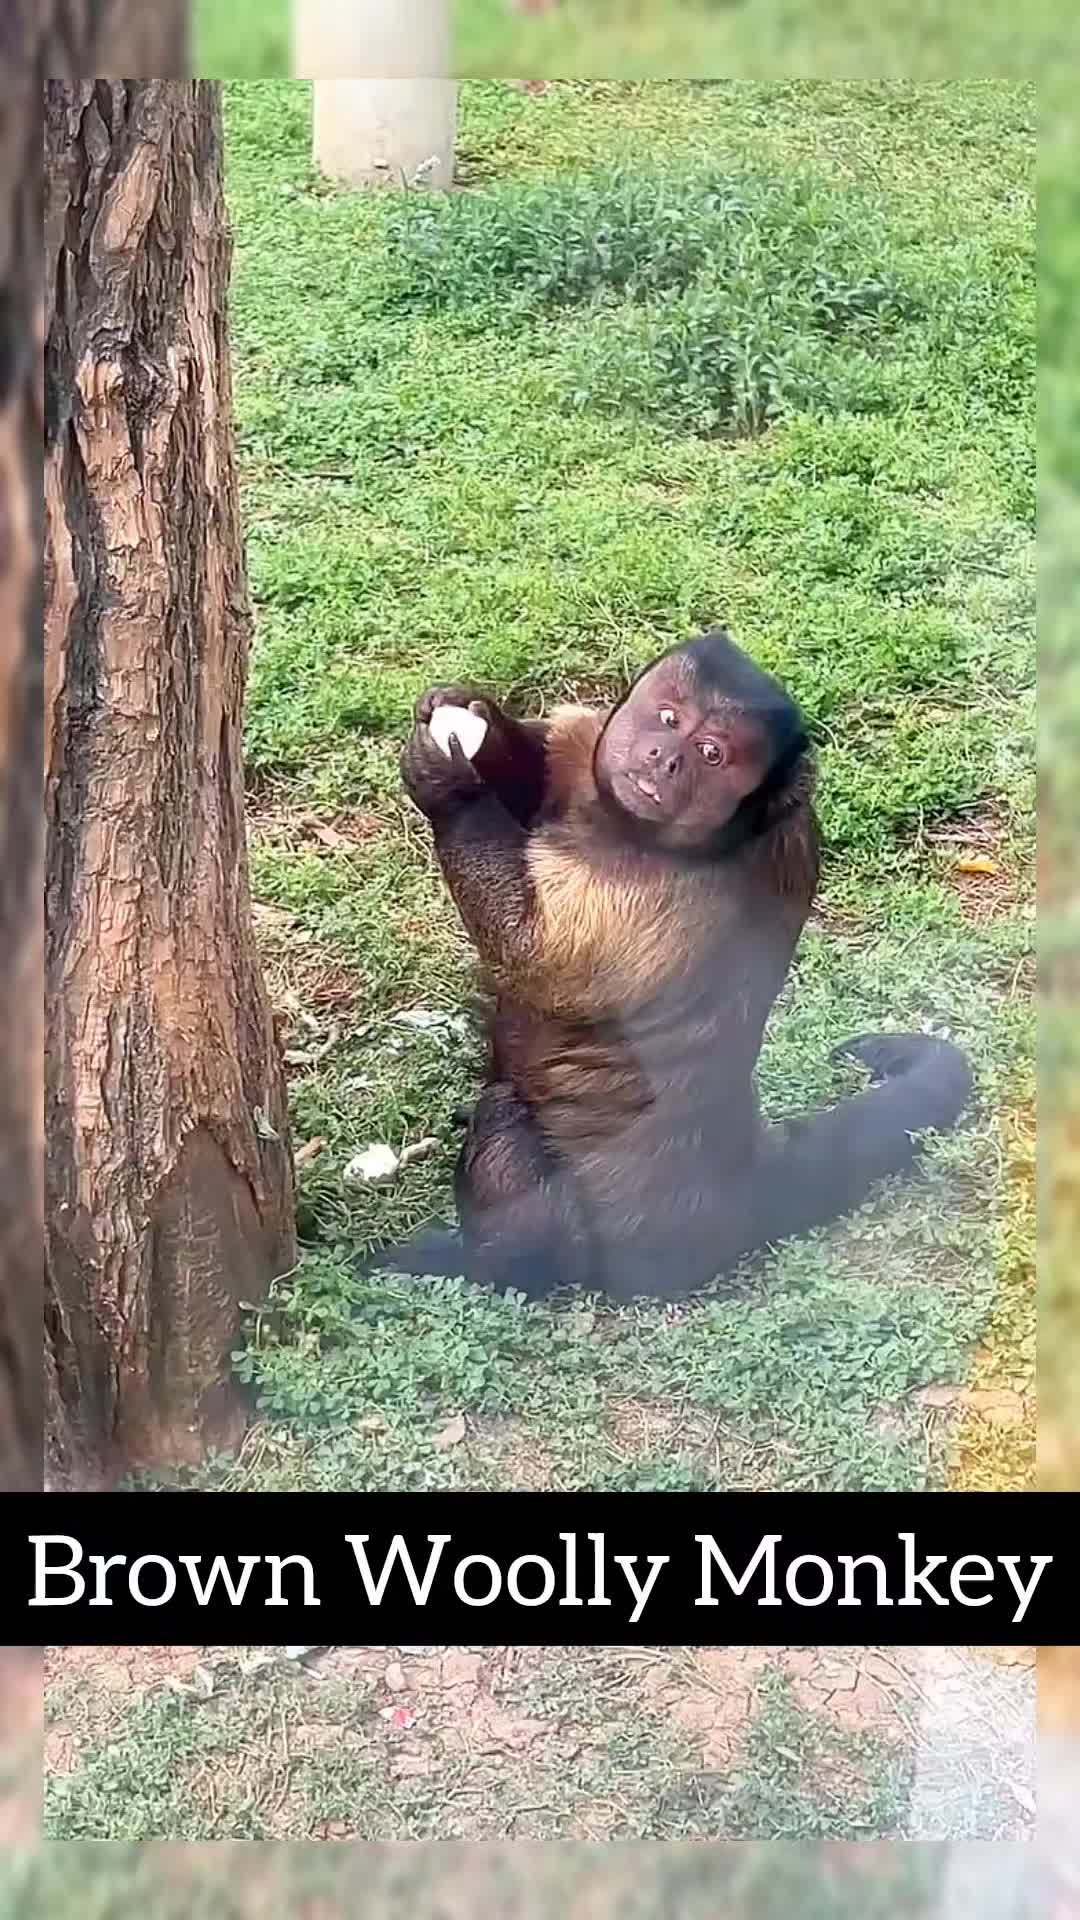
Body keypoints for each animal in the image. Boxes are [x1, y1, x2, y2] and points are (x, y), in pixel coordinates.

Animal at [374, 628, 972, 1303]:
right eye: (668, 719)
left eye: (711, 754)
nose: (665, 759)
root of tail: (740, 1175)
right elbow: (541, 775)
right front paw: (473, 715)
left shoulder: (659, 884)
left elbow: (539, 959)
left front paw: (452, 790)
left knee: (506, 1124)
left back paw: (487, 1264)